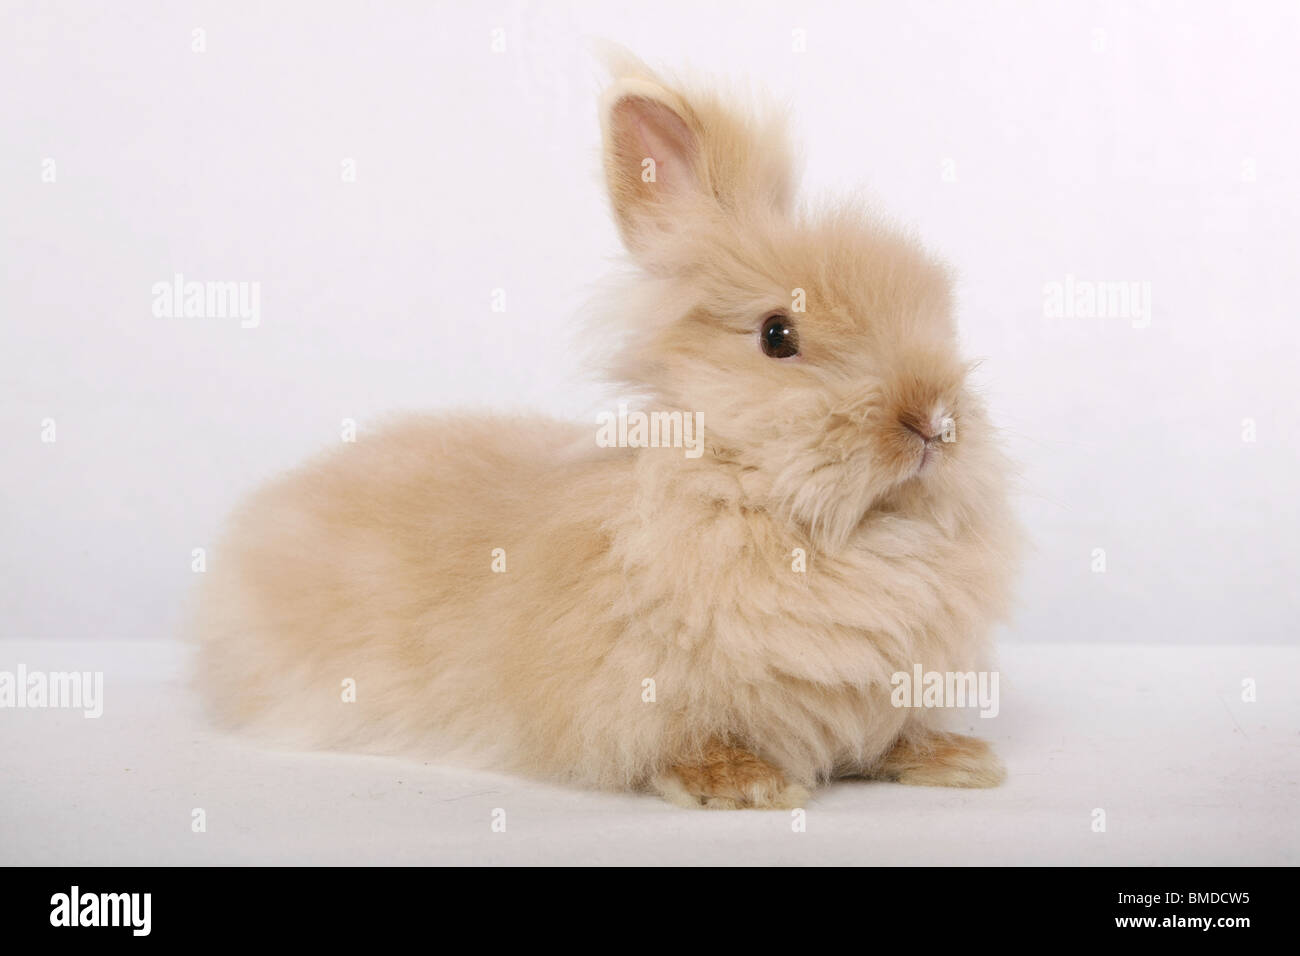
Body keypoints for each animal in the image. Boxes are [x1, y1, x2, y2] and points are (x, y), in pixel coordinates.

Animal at [194, 53, 1021, 810]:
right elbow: (680, 742)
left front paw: (960, 762)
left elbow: (889, 735)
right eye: (777, 335)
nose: (934, 422)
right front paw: (746, 785)